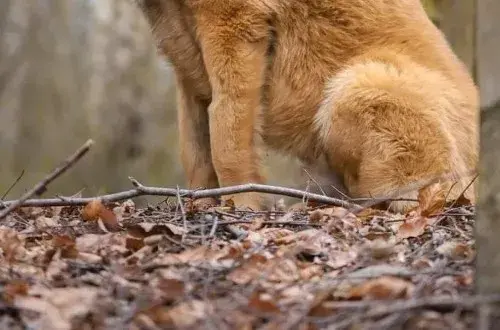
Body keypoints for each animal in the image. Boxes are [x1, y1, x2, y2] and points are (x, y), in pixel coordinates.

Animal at [135, 0, 478, 211]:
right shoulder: (185, 62)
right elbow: (194, 151)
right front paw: (201, 205)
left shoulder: (234, 28)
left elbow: (226, 142)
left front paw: (241, 207)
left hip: (355, 86)